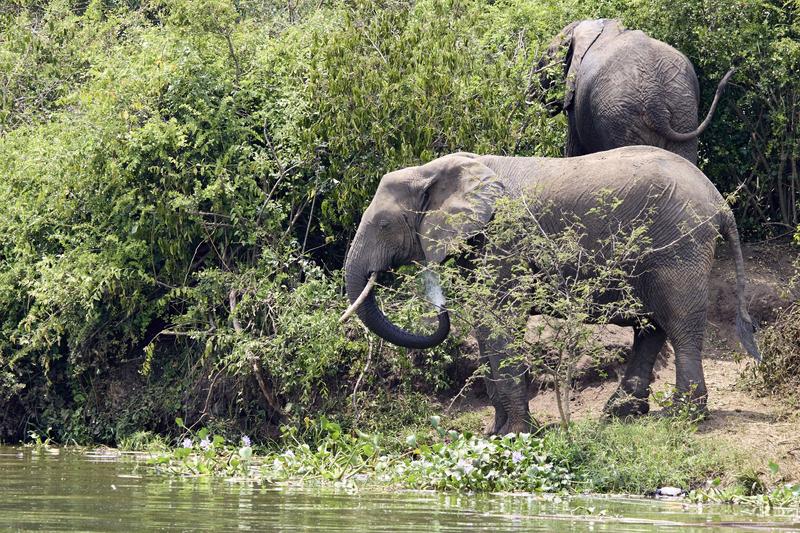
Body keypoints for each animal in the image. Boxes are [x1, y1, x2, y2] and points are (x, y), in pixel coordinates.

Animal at [340, 145, 760, 432]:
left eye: (383, 225)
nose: (439, 305)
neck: (434, 169)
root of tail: (720, 202)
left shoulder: (504, 235)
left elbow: (500, 320)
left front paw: (515, 434)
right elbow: (485, 325)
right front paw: (495, 433)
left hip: (680, 244)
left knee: (679, 321)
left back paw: (681, 416)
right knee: (650, 324)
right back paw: (621, 412)